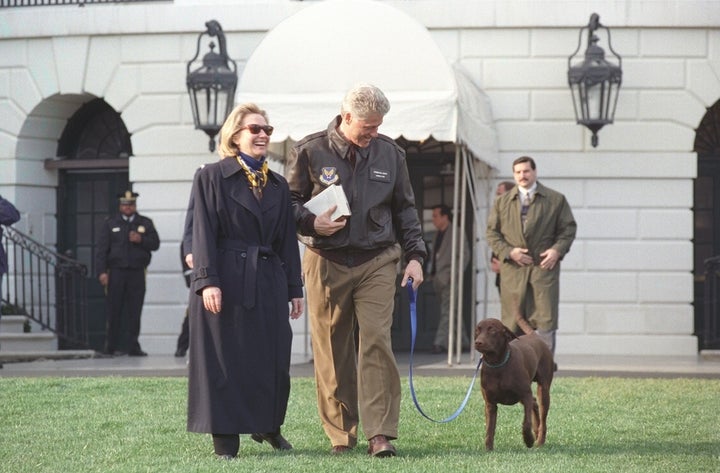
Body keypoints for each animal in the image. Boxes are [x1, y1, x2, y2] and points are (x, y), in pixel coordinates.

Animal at [476, 318, 556, 450]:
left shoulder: (525, 395)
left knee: (542, 416)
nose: (478, 342)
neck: (498, 365)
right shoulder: (490, 403)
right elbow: (489, 428)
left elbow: (526, 423)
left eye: (492, 330)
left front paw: (528, 440)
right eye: (477, 330)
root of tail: (534, 336)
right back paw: (536, 430)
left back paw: (539, 440)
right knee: (534, 402)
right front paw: (488, 449)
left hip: (543, 390)